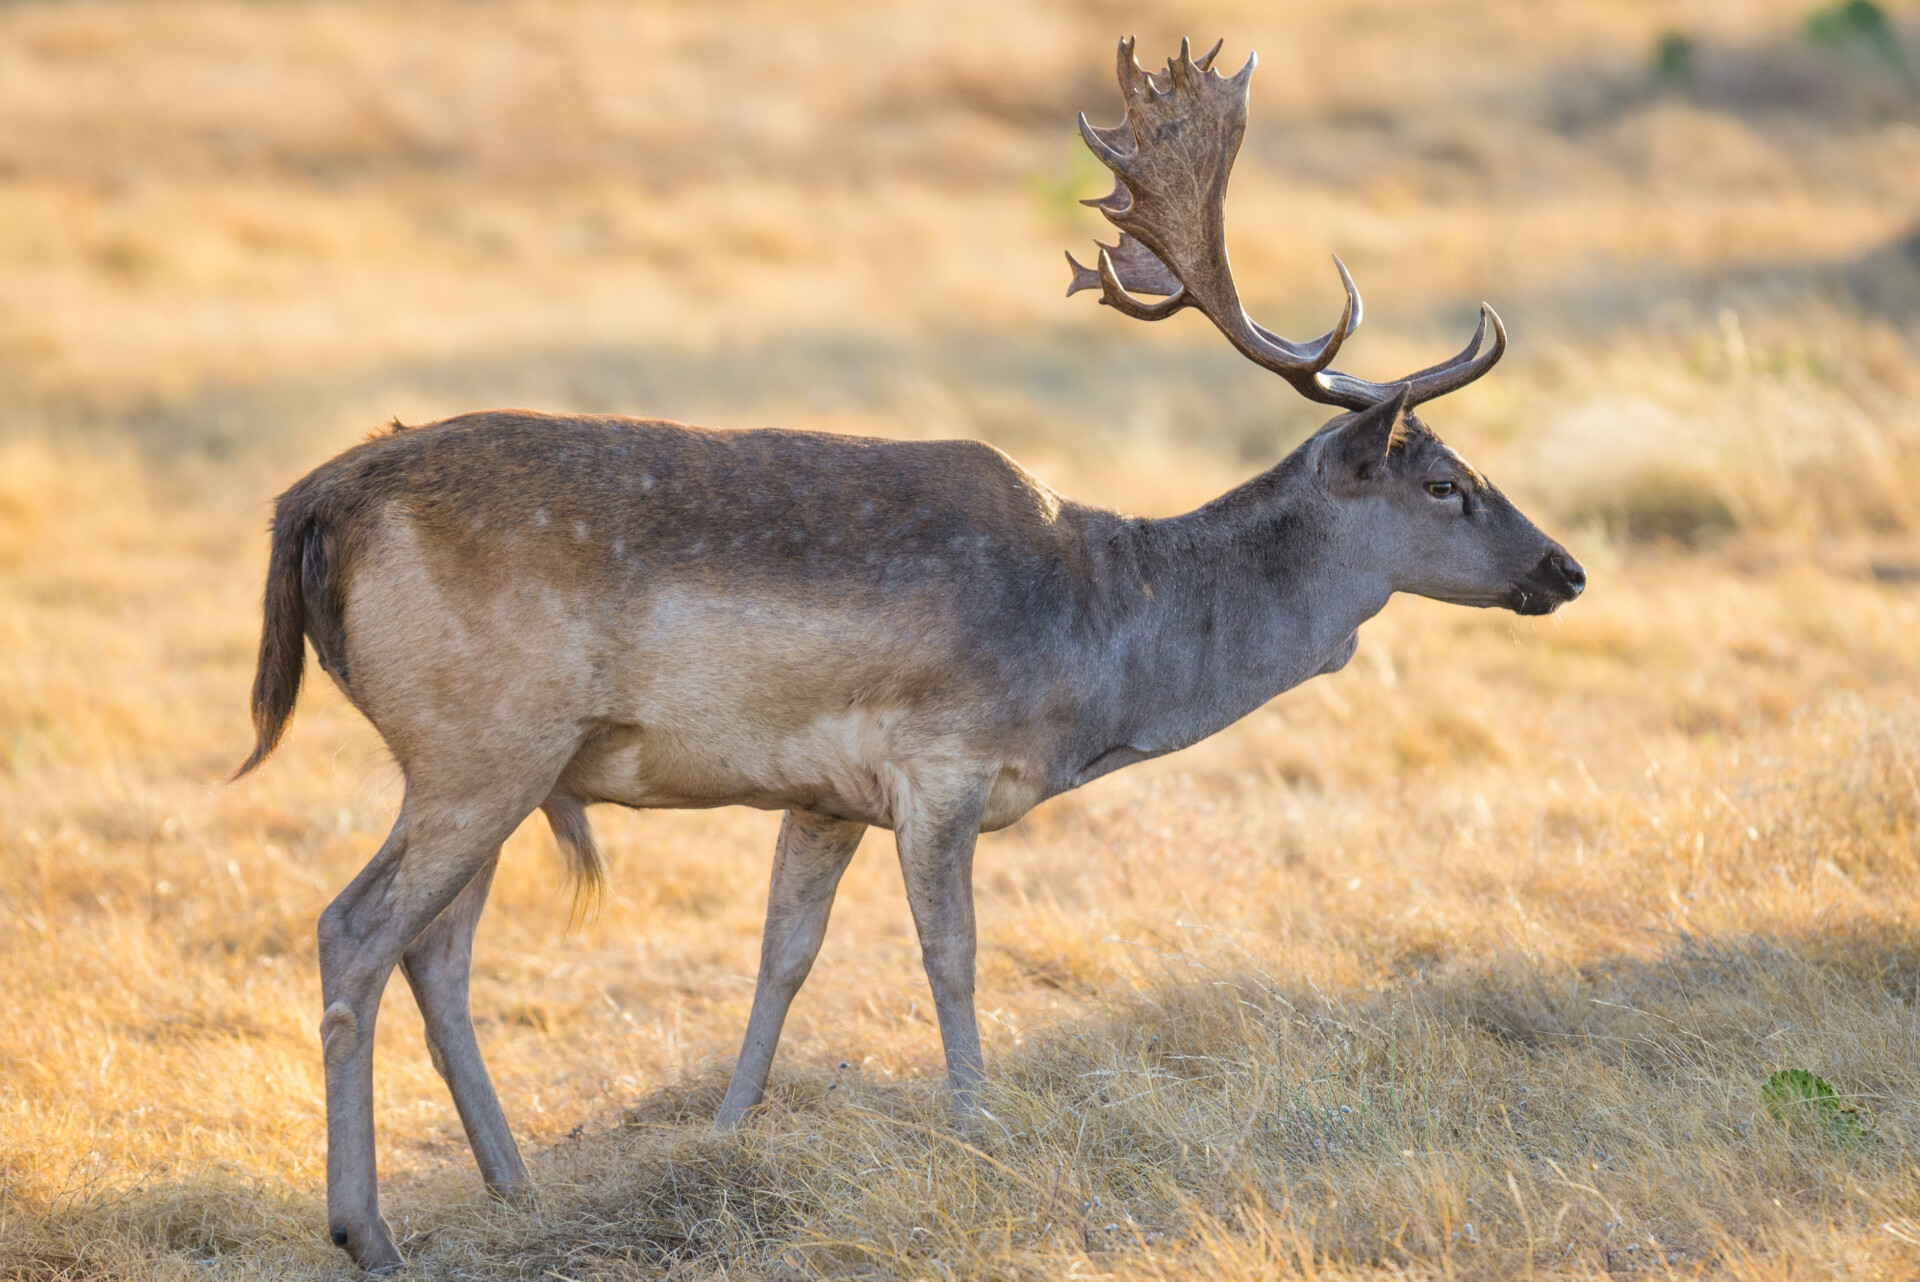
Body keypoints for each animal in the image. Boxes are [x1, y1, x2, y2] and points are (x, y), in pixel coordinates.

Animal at [234, 37, 1585, 1272]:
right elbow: (952, 956)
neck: (1099, 646)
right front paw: (976, 1121)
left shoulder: (824, 790)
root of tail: (312, 499)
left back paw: (513, 1185)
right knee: (355, 928)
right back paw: (367, 1229)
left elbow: (782, 959)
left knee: (437, 950)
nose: (1564, 569)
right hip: (480, 743)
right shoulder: (942, 762)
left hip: (492, 763)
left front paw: (727, 1135)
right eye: (1447, 482)